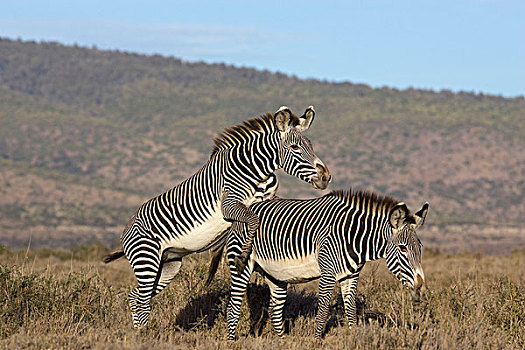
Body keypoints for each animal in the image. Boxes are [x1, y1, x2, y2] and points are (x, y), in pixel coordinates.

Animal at [104, 106, 330, 328]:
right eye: (295, 147)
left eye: (310, 145)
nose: (325, 176)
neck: (257, 170)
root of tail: (126, 229)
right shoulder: (228, 205)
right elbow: (253, 220)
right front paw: (243, 256)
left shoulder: (268, 199)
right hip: (147, 258)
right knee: (142, 300)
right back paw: (144, 333)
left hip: (168, 264)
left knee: (135, 297)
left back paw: (139, 332)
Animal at [211, 189, 428, 340]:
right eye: (402, 248)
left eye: (420, 248)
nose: (420, 285)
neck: (353, 238)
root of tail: (240, 214)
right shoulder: (327, 272)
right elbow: (323, 308)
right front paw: (317, 340)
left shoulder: (351, 275)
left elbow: (351, 309)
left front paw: (355, 336)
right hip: (241, 265)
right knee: (233, 307)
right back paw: (231, 341)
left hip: (276, 275)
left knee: (276, 310)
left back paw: (281, 340)